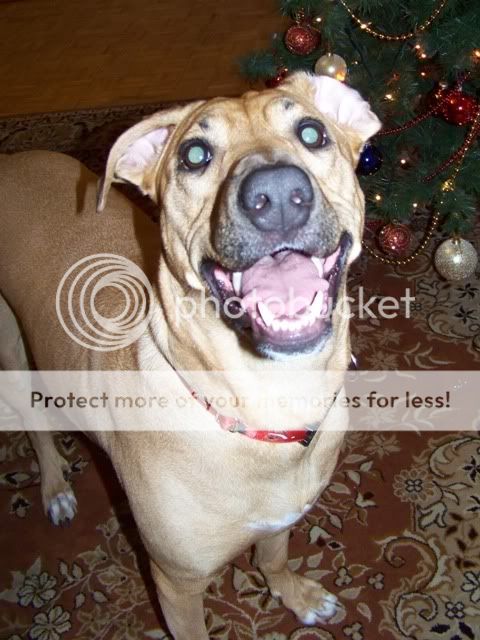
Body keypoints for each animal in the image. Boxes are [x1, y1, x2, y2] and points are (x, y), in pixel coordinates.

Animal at [0, 72, 380, 639]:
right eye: (194, 154)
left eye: (312, 133)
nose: (277, 196)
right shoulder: (175, 583)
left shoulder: (282, 518)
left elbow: (272, 558)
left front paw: (295, 595)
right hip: (13, 353)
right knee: (37, 427)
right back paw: (55, 489)